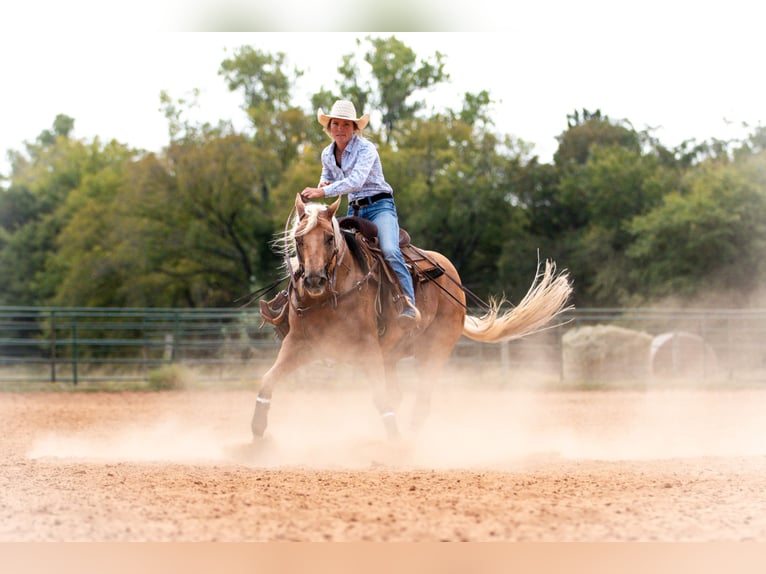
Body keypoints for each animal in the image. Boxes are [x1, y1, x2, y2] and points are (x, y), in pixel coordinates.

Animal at [254, 194, 576, 440]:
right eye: (298, 240)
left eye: (330, 238)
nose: (314, 280)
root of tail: (451, 275)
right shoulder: (299, 344)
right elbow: (268, 379)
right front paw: (257, 433)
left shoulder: (367, 348)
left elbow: (381, 398)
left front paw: (396, 443)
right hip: (392, 355)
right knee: (401, 395)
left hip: (433, 352)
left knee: (422, 399)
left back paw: (411, 436)